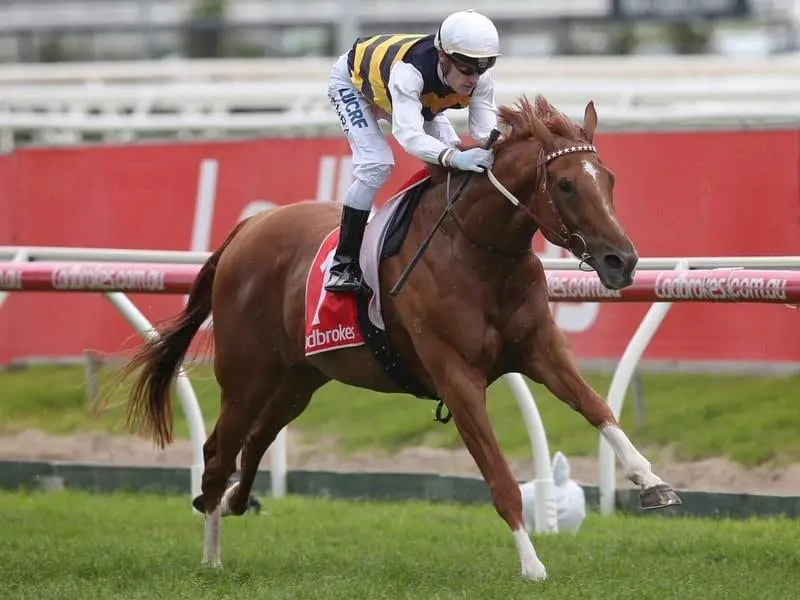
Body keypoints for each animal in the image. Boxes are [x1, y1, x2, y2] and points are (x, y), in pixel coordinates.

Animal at [119, 94, 680, 580]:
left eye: (608, 178)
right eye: (564, 184)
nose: (622, 260)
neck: (478, 253)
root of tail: (248, 227)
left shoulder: (541, 350)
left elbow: (596, 407)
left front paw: (653, 482)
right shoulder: (456, 375)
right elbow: (501, 478)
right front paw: (532, 565)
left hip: (299, 379)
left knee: (255, 440)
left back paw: (238, 503)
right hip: (247, 376)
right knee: (217, 453)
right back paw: (212, 554)